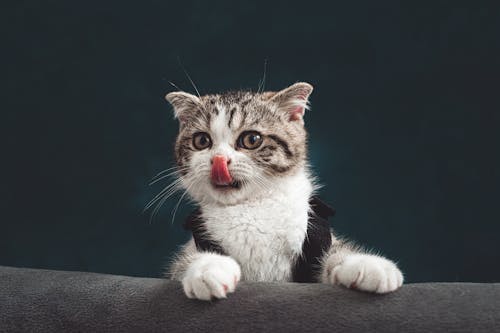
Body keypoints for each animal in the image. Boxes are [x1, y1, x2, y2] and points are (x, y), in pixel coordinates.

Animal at [162, 81, 404, 300]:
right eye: (202, 140)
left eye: (251, 139)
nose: (218, 160)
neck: (251, 206)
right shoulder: (194, 245)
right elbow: (182, 264)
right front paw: (208, 269)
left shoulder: (315, 242)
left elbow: (335, 253)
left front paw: (367, 264)